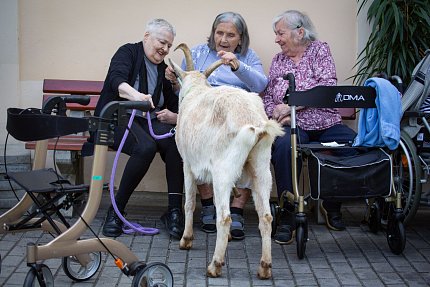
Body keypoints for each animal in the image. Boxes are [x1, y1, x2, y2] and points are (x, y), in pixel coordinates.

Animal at [169, 44, 286, 280]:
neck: (196, 91)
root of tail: (255, 124)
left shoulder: (188, 164)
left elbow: (190, 202)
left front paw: (186, 240)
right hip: (261, 169)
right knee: (266, 216)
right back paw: (265, 267)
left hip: (223, 171)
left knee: (225, 217)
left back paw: (215, 265)